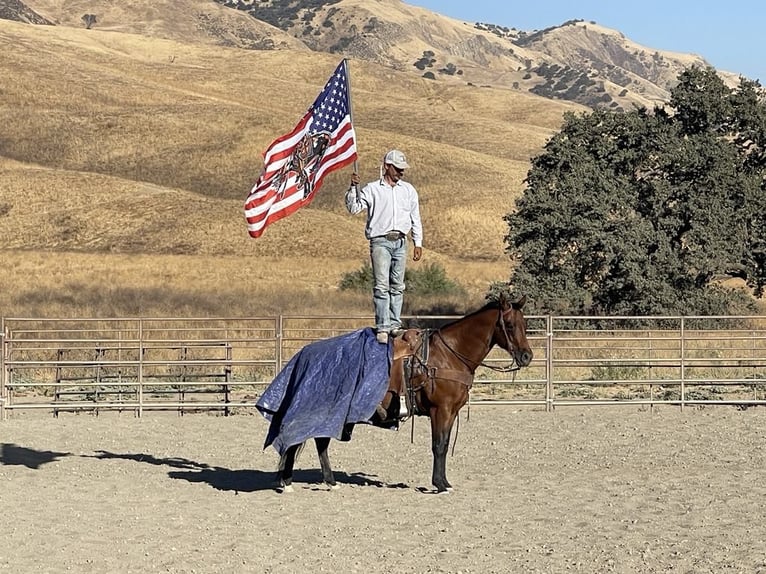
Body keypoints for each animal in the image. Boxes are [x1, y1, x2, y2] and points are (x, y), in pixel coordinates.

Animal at [276, 296, 536, 496]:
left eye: (524, 324)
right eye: (509, 324)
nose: (526, 356)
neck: (450, 355)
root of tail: (306, 355)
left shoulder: (451, 412)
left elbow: (444, 444)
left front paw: (445, 482)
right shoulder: (440, 410)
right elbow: (438, 445)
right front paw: (440, 485)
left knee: (319, 441)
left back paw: (329, 482)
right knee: (300, 438)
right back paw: (287, 482)